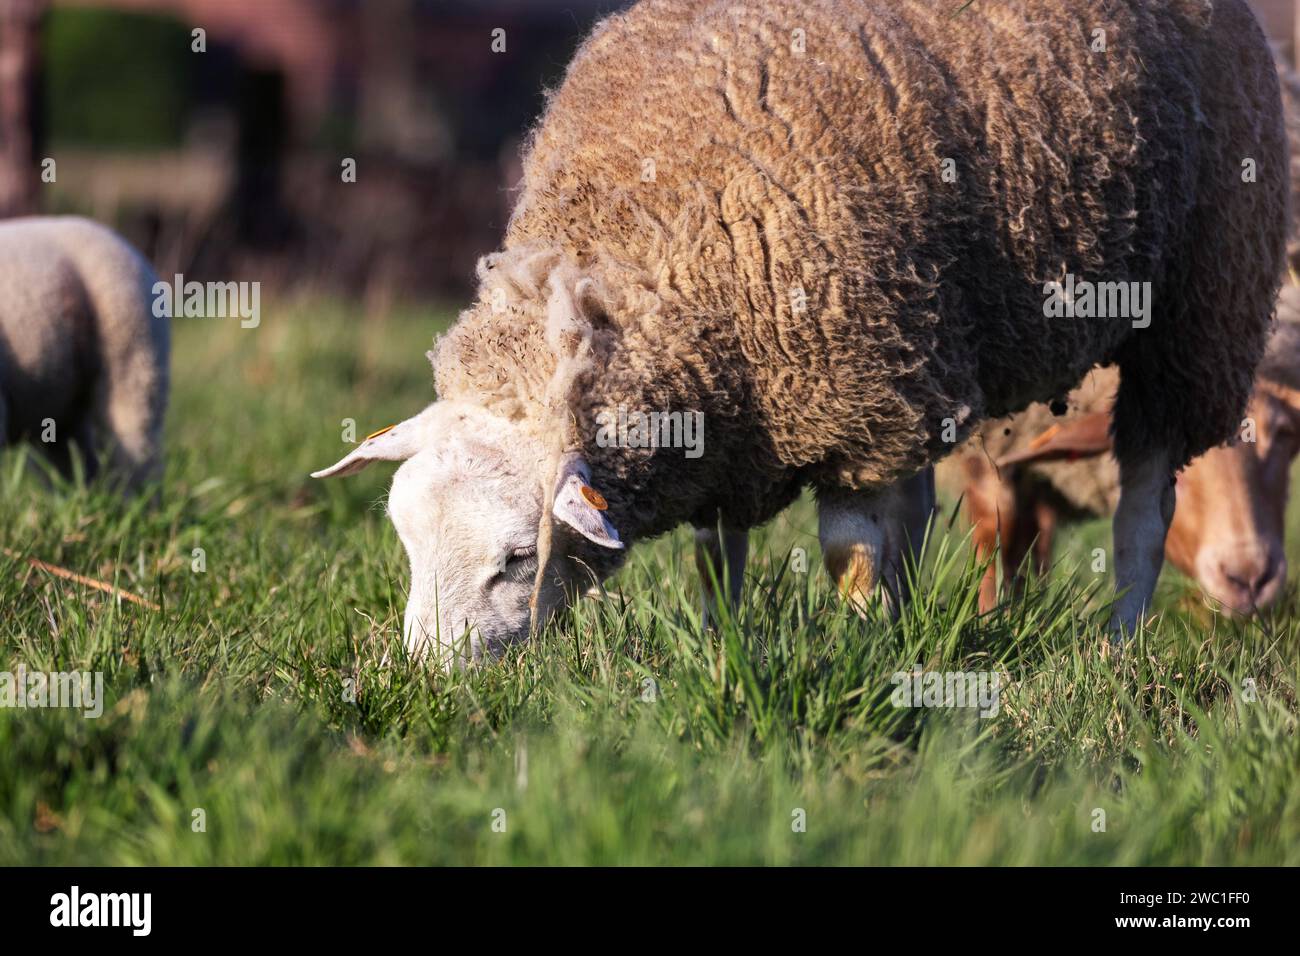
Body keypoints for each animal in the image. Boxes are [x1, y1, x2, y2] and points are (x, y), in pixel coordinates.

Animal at [314, 0, 1289, 671]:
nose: (429, 680)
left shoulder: (847, 400)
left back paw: (1120, 644)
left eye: (518, 557)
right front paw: (724, 646)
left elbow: (847, 550)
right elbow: (718, 558)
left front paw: (857, 646)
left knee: (1144, 507)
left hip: (1196, 314)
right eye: (404, 538)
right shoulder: (734, 410)